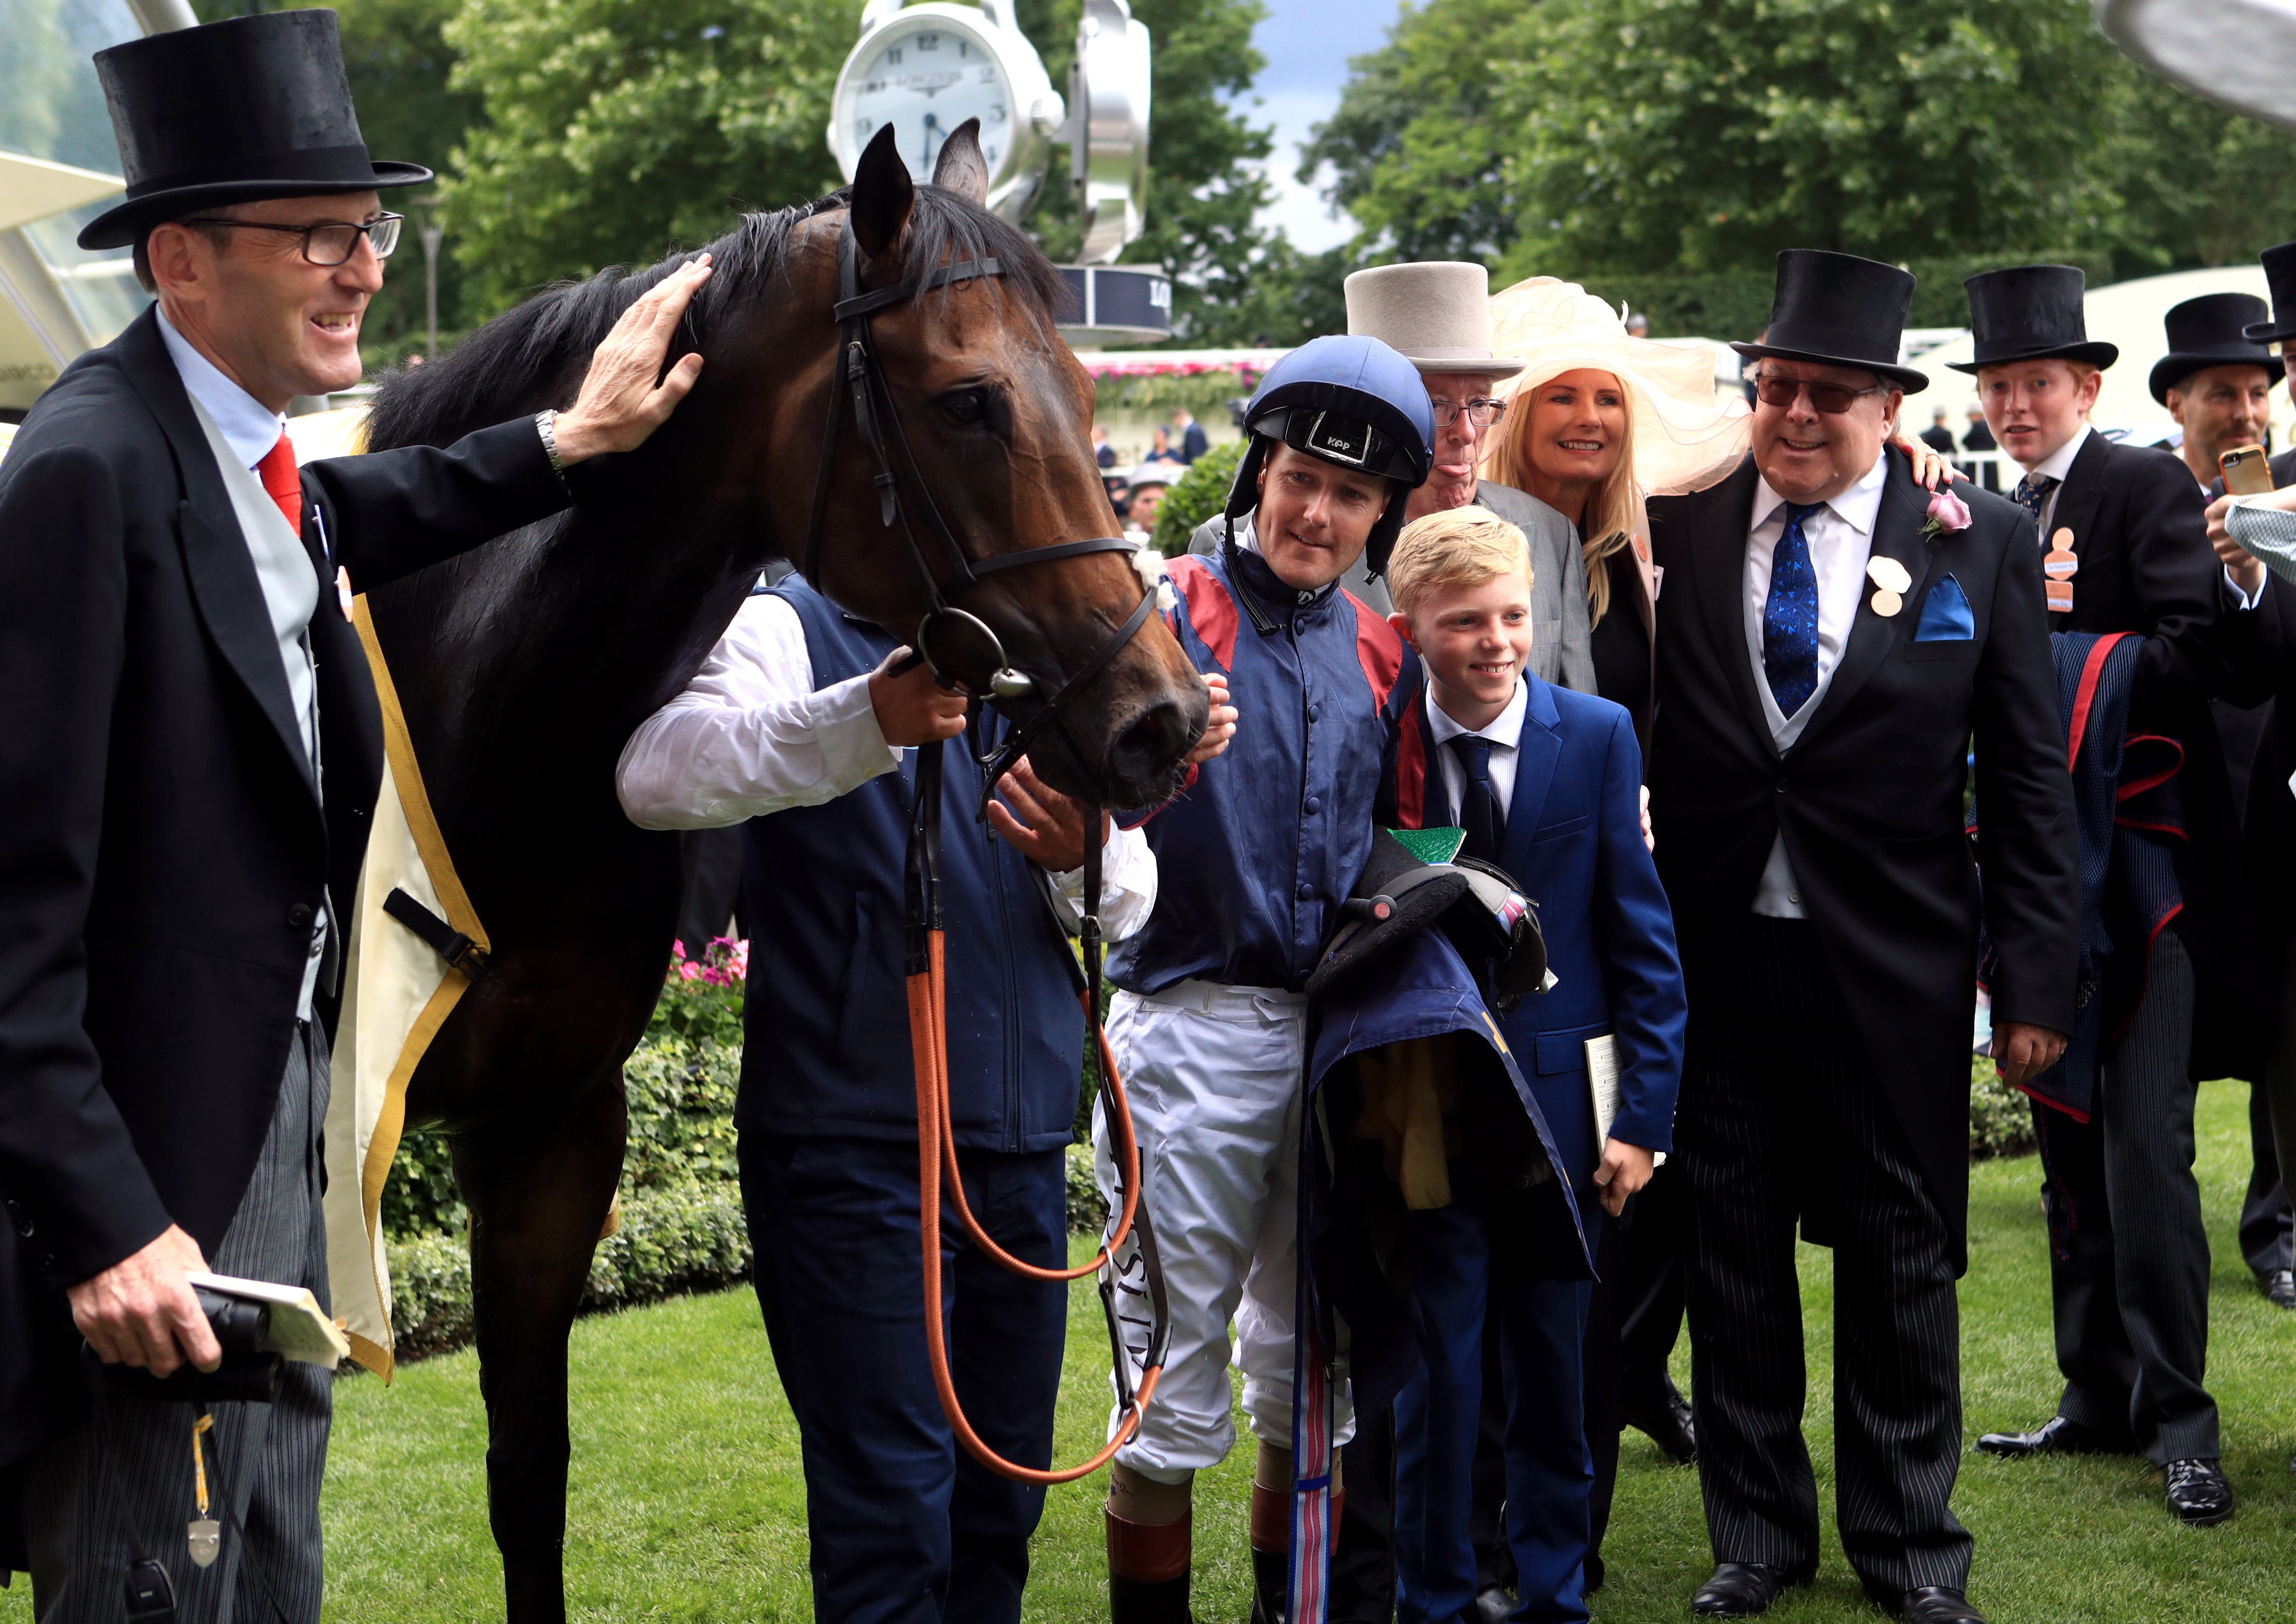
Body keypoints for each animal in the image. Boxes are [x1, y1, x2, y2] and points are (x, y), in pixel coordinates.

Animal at [358, 130, 1212, 1624]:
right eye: (971, 399)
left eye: (1080, 383)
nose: (1158, 719)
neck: (475, 729)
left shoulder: (547, 1127)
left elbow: (530, 1473)